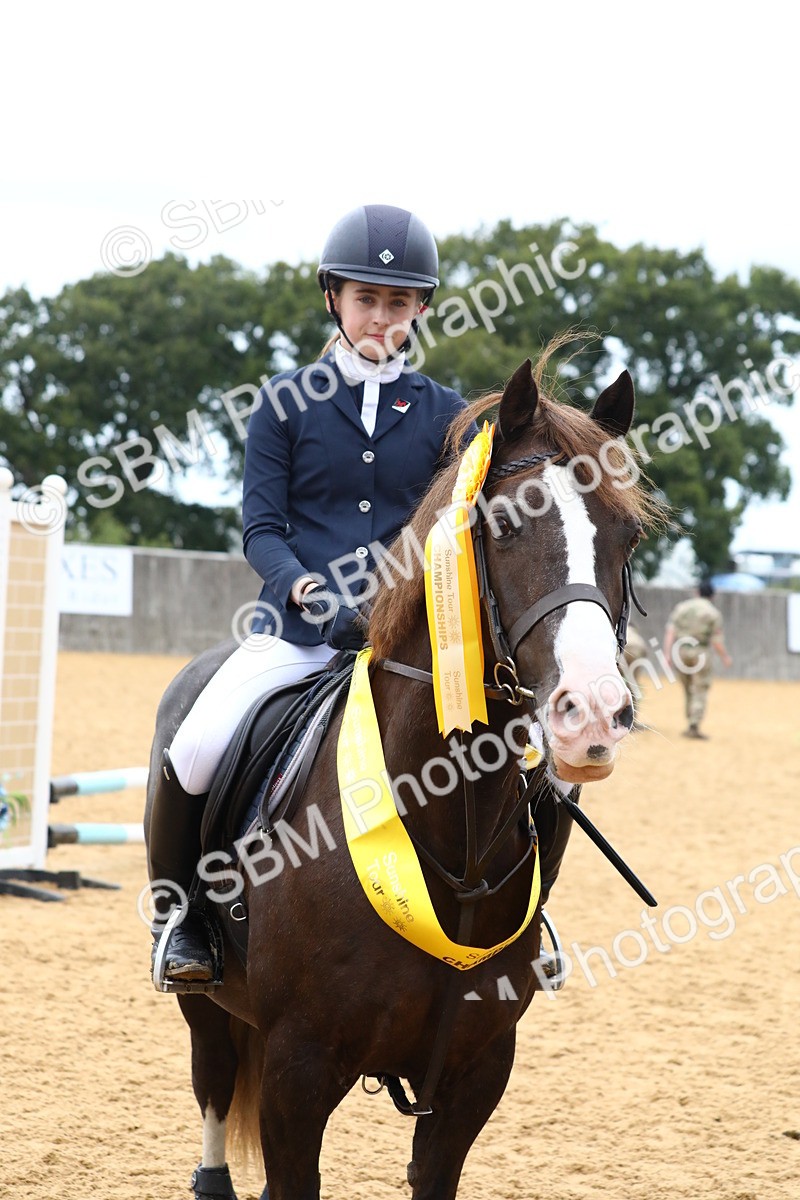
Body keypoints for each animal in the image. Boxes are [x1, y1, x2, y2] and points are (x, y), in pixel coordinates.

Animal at [144, 354, 661, 1200]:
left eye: (628, 536)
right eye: (506, 524)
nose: (593, 714)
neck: (448, 837)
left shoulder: (477, 1073)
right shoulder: (297, 1070)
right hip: (206, 1000)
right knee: (214, 1078)